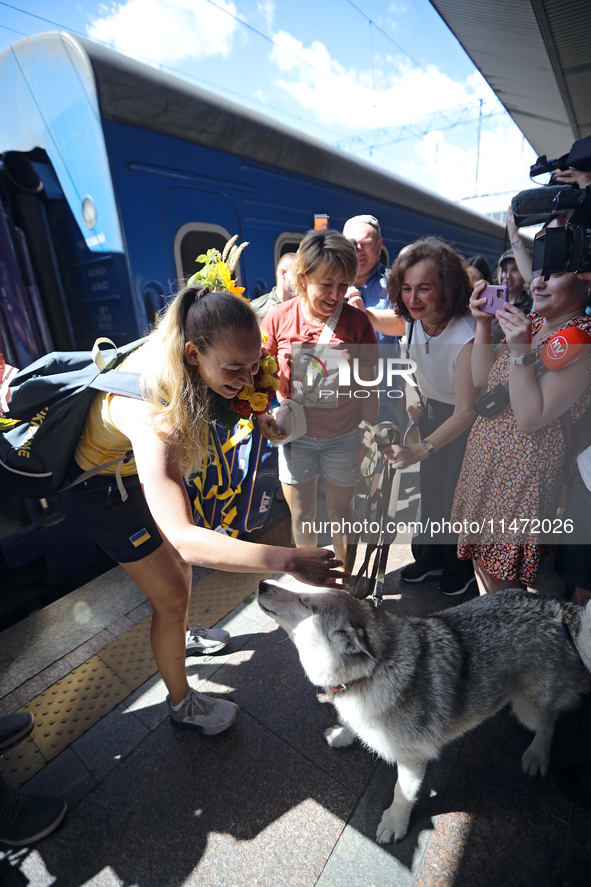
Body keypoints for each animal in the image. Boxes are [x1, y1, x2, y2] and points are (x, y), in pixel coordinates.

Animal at [258, 580, 591, 844]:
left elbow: (401, 794)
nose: (261, 584)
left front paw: (395, 823)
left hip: (528, 708)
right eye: (304, 588)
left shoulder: (412, 759)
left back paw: (537, 755)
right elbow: (352, 723)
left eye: (305, 603)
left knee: (548, 724)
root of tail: (553, 605)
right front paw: (343, 734)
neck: (372, 672)